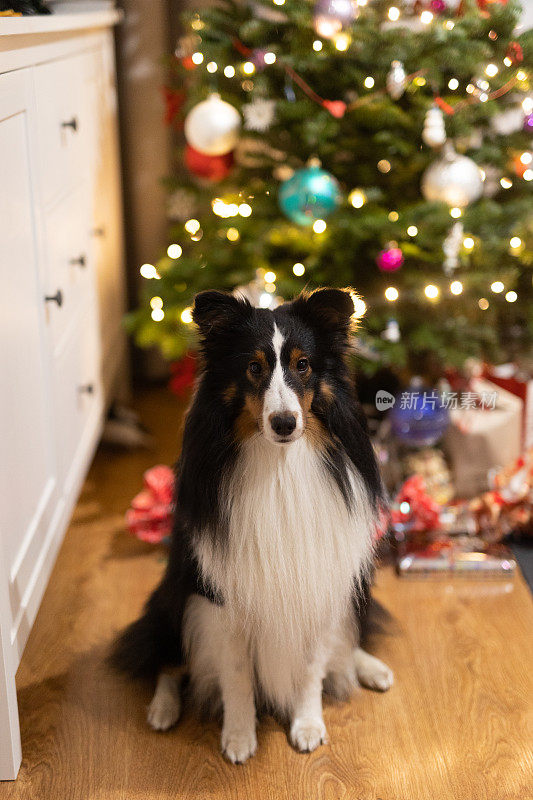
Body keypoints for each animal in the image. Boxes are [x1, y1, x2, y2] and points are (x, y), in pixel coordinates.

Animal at [110, 286, 392, 764]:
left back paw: (370, 667)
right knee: (167, 662)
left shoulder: (318, 583)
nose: (284, 423)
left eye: (303, 364)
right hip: (173, 597)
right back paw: (163, 709)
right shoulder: (222, 599)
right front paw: (239, 737)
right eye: (254, 367)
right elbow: (237, 674)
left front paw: (308, 724)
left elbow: (312, 667)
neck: (279, 467)